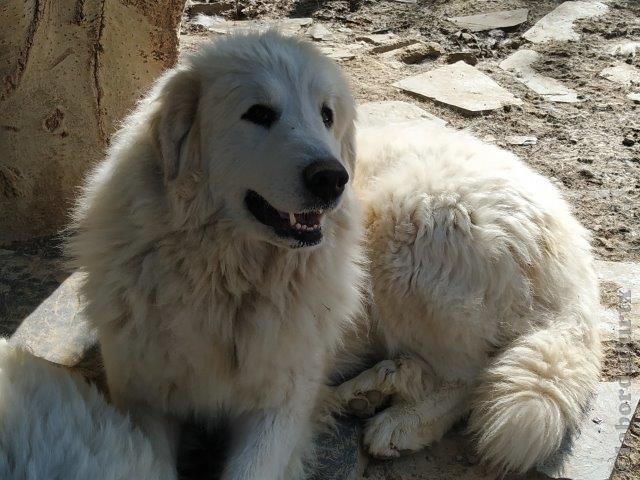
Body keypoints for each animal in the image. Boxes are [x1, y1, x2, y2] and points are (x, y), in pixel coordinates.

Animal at [69, 31, 364, 478]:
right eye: (258, 113)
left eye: (326, 115)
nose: (332, 178)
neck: (228, 282)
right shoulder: (143, 398)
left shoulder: (281, 405)